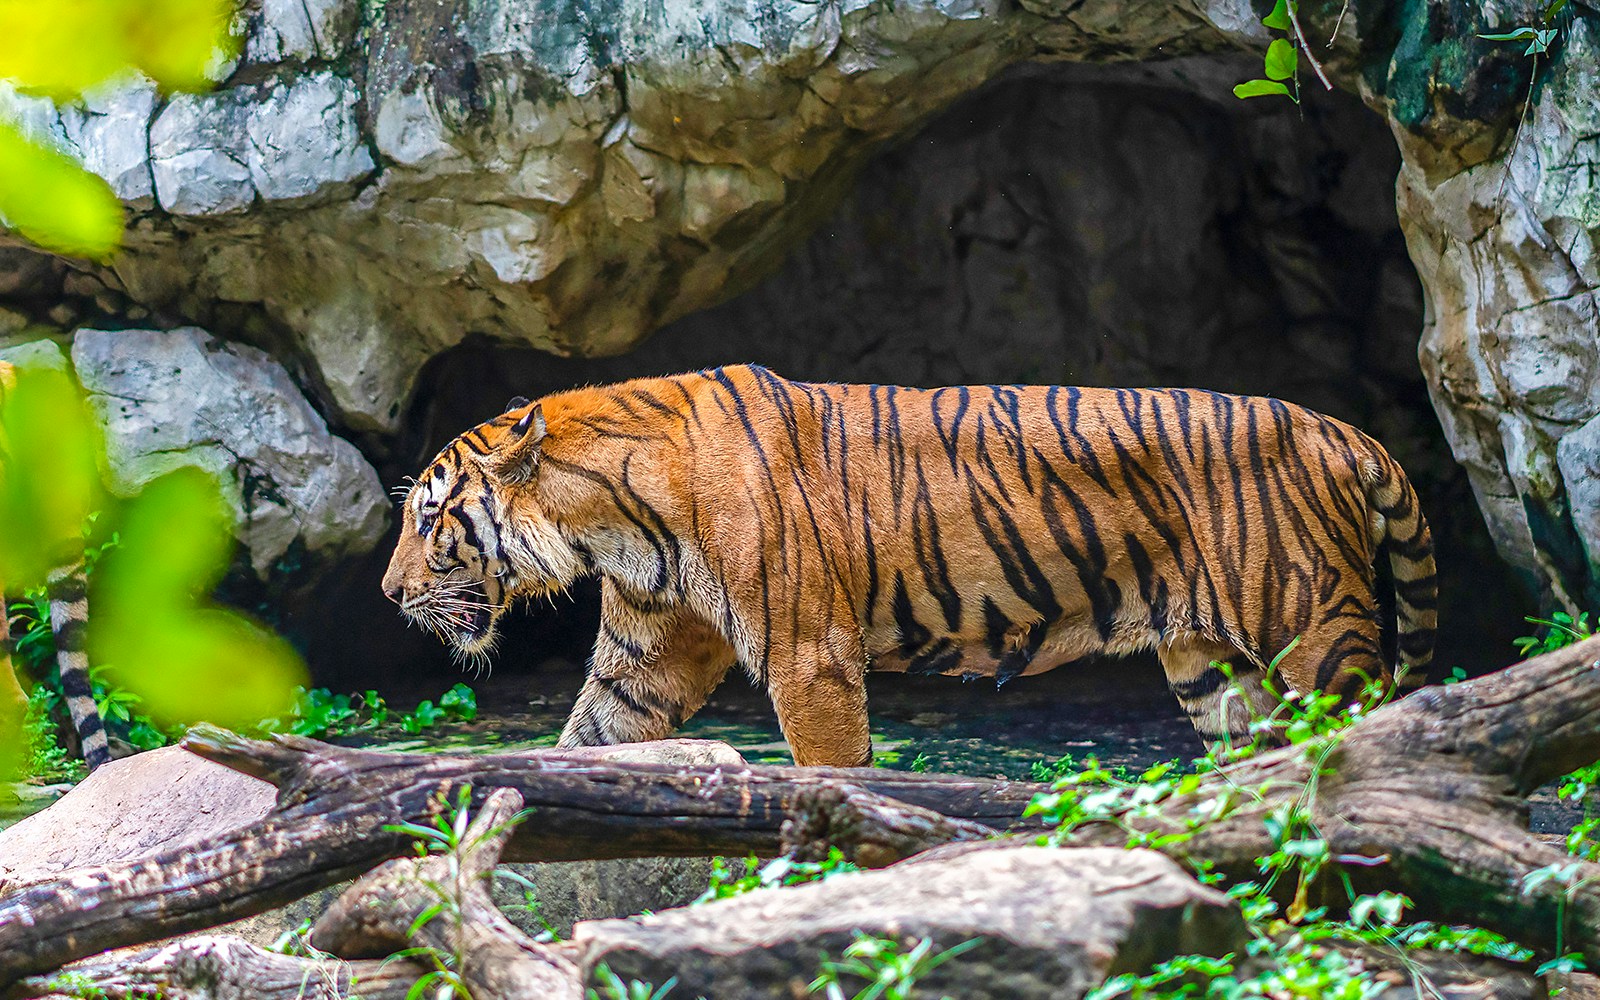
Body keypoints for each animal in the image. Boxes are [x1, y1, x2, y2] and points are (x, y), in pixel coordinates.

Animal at [383, 364, 1437, 767]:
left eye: (430, 518)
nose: (389, 593)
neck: (609, 521)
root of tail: (1340, 431)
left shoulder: (808, 655)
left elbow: (830, 769)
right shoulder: (649, 656)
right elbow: (591, 737)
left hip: (1315, 635)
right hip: (1212, 669)